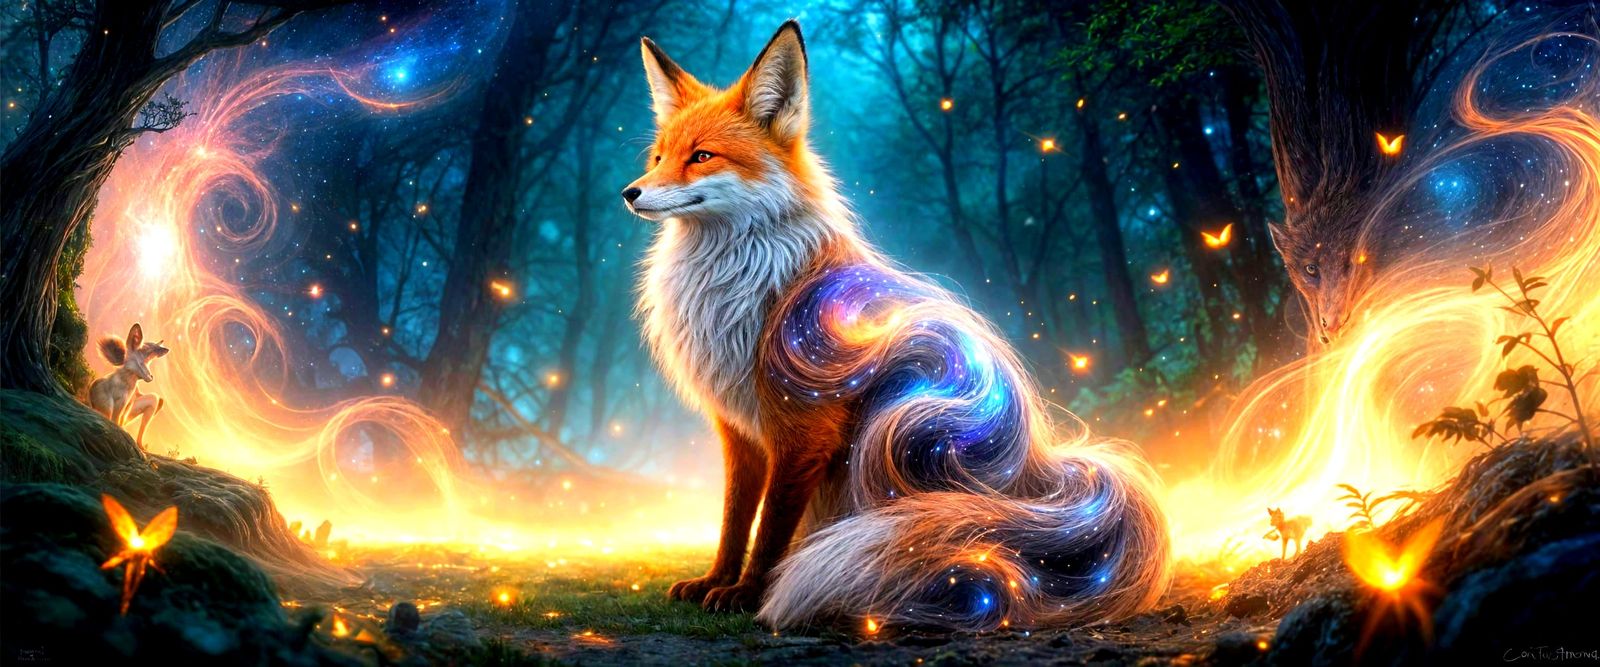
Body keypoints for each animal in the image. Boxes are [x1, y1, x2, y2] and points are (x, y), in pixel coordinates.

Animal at [624, 21, 1171, 632]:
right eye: (659, 156)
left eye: (701, 156)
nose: (630, 192)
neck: (742, 286)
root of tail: (1044, 480)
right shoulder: (739, 427)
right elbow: (735, 517)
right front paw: (716, 581)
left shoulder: (803, 426)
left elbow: (771, 529)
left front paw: (749, 593)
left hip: (906, 419)